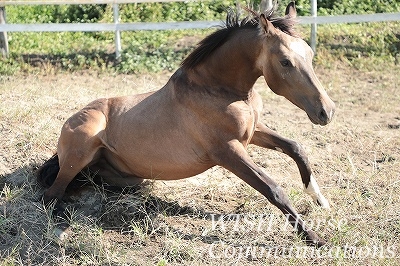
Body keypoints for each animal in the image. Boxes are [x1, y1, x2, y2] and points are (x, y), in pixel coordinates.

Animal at [39, 2, 336, 247]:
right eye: (285, 62)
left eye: (310, 54)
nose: (327, 111)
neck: (216, 89)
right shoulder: (228, 151)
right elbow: (273, 189)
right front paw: (313, 237)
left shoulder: (253, 133)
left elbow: (296, 148)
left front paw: (320, 200)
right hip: (81, 149)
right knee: (52, 192)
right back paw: (59, 222)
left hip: (127, 175)